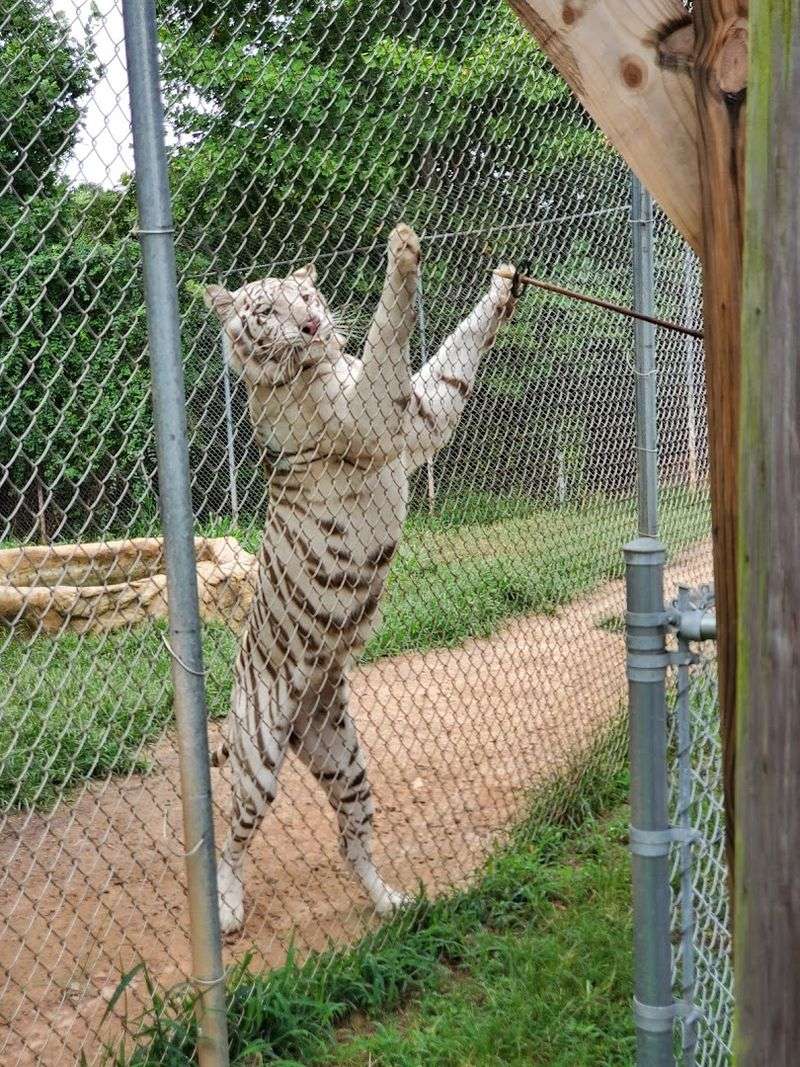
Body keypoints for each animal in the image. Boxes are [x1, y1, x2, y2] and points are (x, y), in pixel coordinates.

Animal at [204, 223, 517, 933]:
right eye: (268, 311)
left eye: (306, 295)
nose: (313, 324)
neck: (314, 367)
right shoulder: (375, 412)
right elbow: (387, 331)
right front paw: (402, 255)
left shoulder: (421, 414)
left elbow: (454, 352)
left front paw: (502, 287)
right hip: (258, 760)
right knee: (232, 838)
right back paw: (228, 910)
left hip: (343, 758)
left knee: (352, 842)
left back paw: (391, 903)